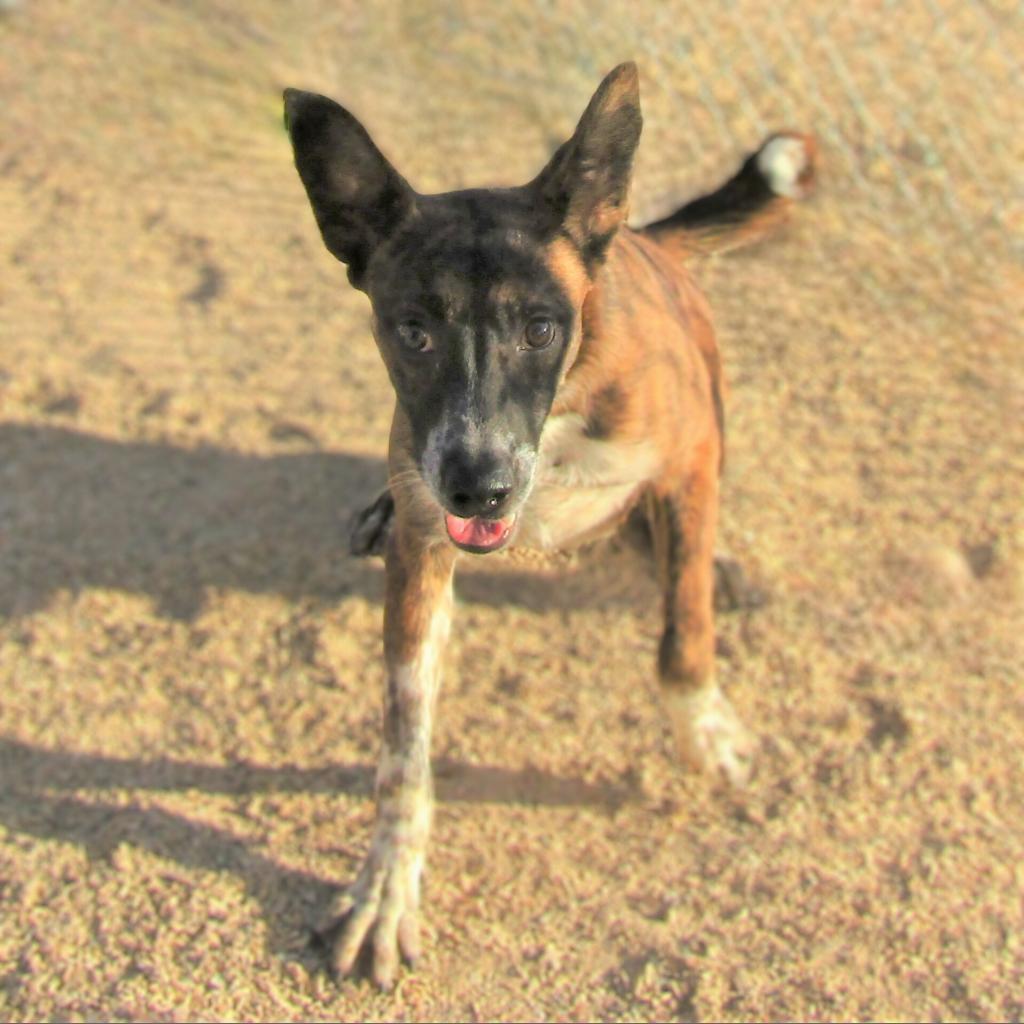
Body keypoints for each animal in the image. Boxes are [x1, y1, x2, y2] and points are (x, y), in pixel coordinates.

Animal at [284, 61, 811, 983]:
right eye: (412, 331)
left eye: (540, 328)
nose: (479, 490)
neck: (559, 413)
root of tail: (641, 236)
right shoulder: (425, 550)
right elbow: (403, 750)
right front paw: (387, 886)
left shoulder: (688, 457)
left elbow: (685, 629)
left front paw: (703, 727)